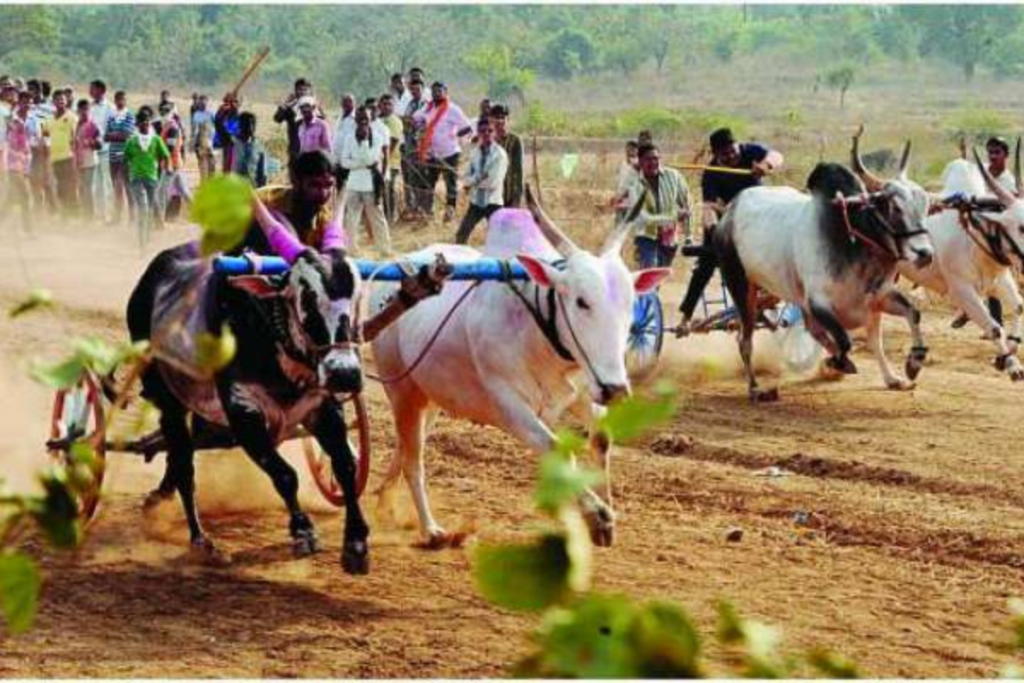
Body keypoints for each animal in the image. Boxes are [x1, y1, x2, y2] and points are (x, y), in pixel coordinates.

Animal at [125, 242, 446, 573]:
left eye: (357, 298)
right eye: (305, 298)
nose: (344, 373)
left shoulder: (322, 408)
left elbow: (346, 466)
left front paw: (356, 544)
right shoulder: (244, 416)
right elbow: (285, 475)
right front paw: (303, 532)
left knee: (181, 455)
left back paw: (161, 498)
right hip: (169, 402)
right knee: (184, 466)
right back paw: (201, 542)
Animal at [372, 188, 667, 548]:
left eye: (630, 304)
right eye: (582, 301)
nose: (616, 390)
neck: (539, 330)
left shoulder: (584, 390)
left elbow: (600, 439)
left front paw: (604, 514)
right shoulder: (510, 408)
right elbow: (558, 450)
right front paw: (597, 516)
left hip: (427, 396)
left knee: (406, 446)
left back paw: (384, 501)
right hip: (399, 389)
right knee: (414, 459)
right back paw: (430, 528)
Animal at [712, 127, 937, 401]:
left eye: (926, 205)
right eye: (894, 207)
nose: (925, 253)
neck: (852, 237)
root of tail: (729, 212)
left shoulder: (877, 298)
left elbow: (905, 319)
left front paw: (907, 368)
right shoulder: (819, 302)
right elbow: (845, 340)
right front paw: (836, 362)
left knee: (810, 330)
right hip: (741, 285)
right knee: (745, 340)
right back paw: (756, 388)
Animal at [892, 142, 1024, 382]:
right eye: (1021, 227)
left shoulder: (999, 281)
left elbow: (1019, 306)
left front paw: (1007, 353)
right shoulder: (961, 290)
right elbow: (994, 328)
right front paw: (1012, 364)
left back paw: (914, 360)